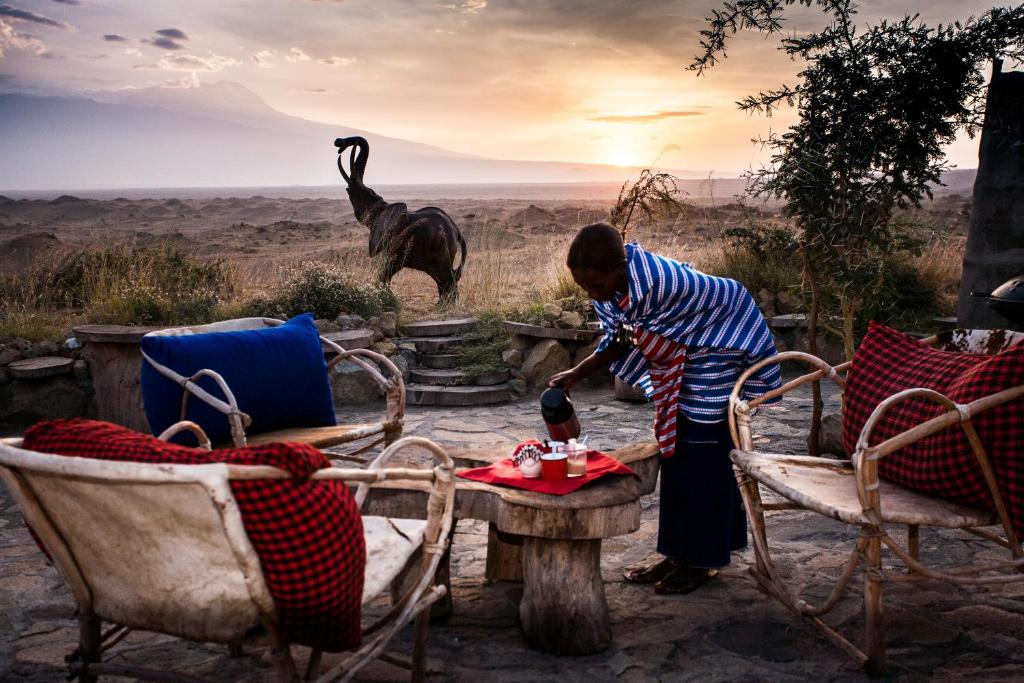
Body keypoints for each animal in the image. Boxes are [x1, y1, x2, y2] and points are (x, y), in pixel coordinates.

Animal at [333, 137, 466, 305]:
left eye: (356, 194)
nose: (339, 142)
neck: (381, 207)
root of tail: (458, 233)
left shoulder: (396, 242)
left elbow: (387, 270)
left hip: (441, 252)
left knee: (447, 277)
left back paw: (444, 306)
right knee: (445, 279)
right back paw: (442, 305)